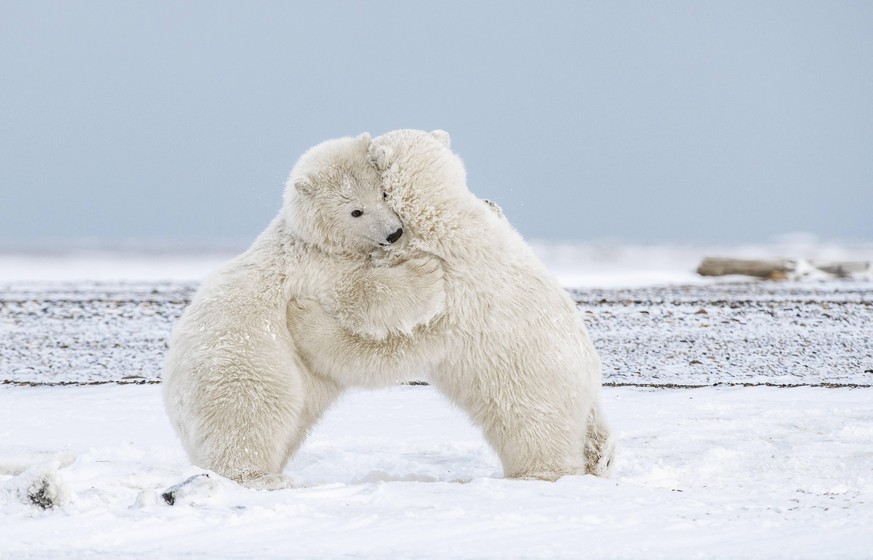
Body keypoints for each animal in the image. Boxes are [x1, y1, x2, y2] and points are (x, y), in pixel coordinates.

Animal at [164, 133, 446, 488]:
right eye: (356, 211)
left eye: (383, 193)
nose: (393, 233)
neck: (315, 240)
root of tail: (175, 404)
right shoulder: (317, 272)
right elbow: (362, 295)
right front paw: (427, 273)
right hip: (243, 363)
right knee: (249, 411)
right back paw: (261, 477)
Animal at [290, 129, 616, 480]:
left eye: (377, 145)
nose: (367, 141)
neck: (443, 219)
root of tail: (591, 393)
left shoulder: (450, 298)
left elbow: (391, 348)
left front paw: (305, 318)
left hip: (537, 400)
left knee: (540, 439)